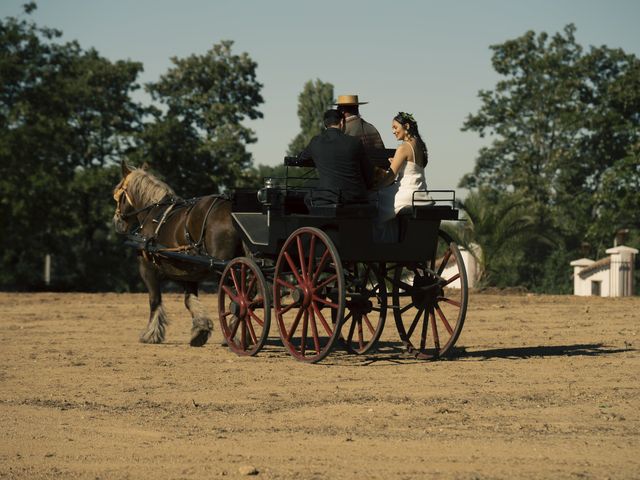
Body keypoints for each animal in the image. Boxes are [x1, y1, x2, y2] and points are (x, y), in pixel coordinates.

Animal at [111, 163, 244, 346]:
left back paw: (233, 335)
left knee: (239, 298)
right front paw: (200, 330)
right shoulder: (187, 272)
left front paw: (151, 334)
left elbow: (154, 299)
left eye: (119, 195)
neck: (154, 213)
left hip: (225, 268)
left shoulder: (147, 268)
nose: (117, 222)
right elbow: (189, 300)